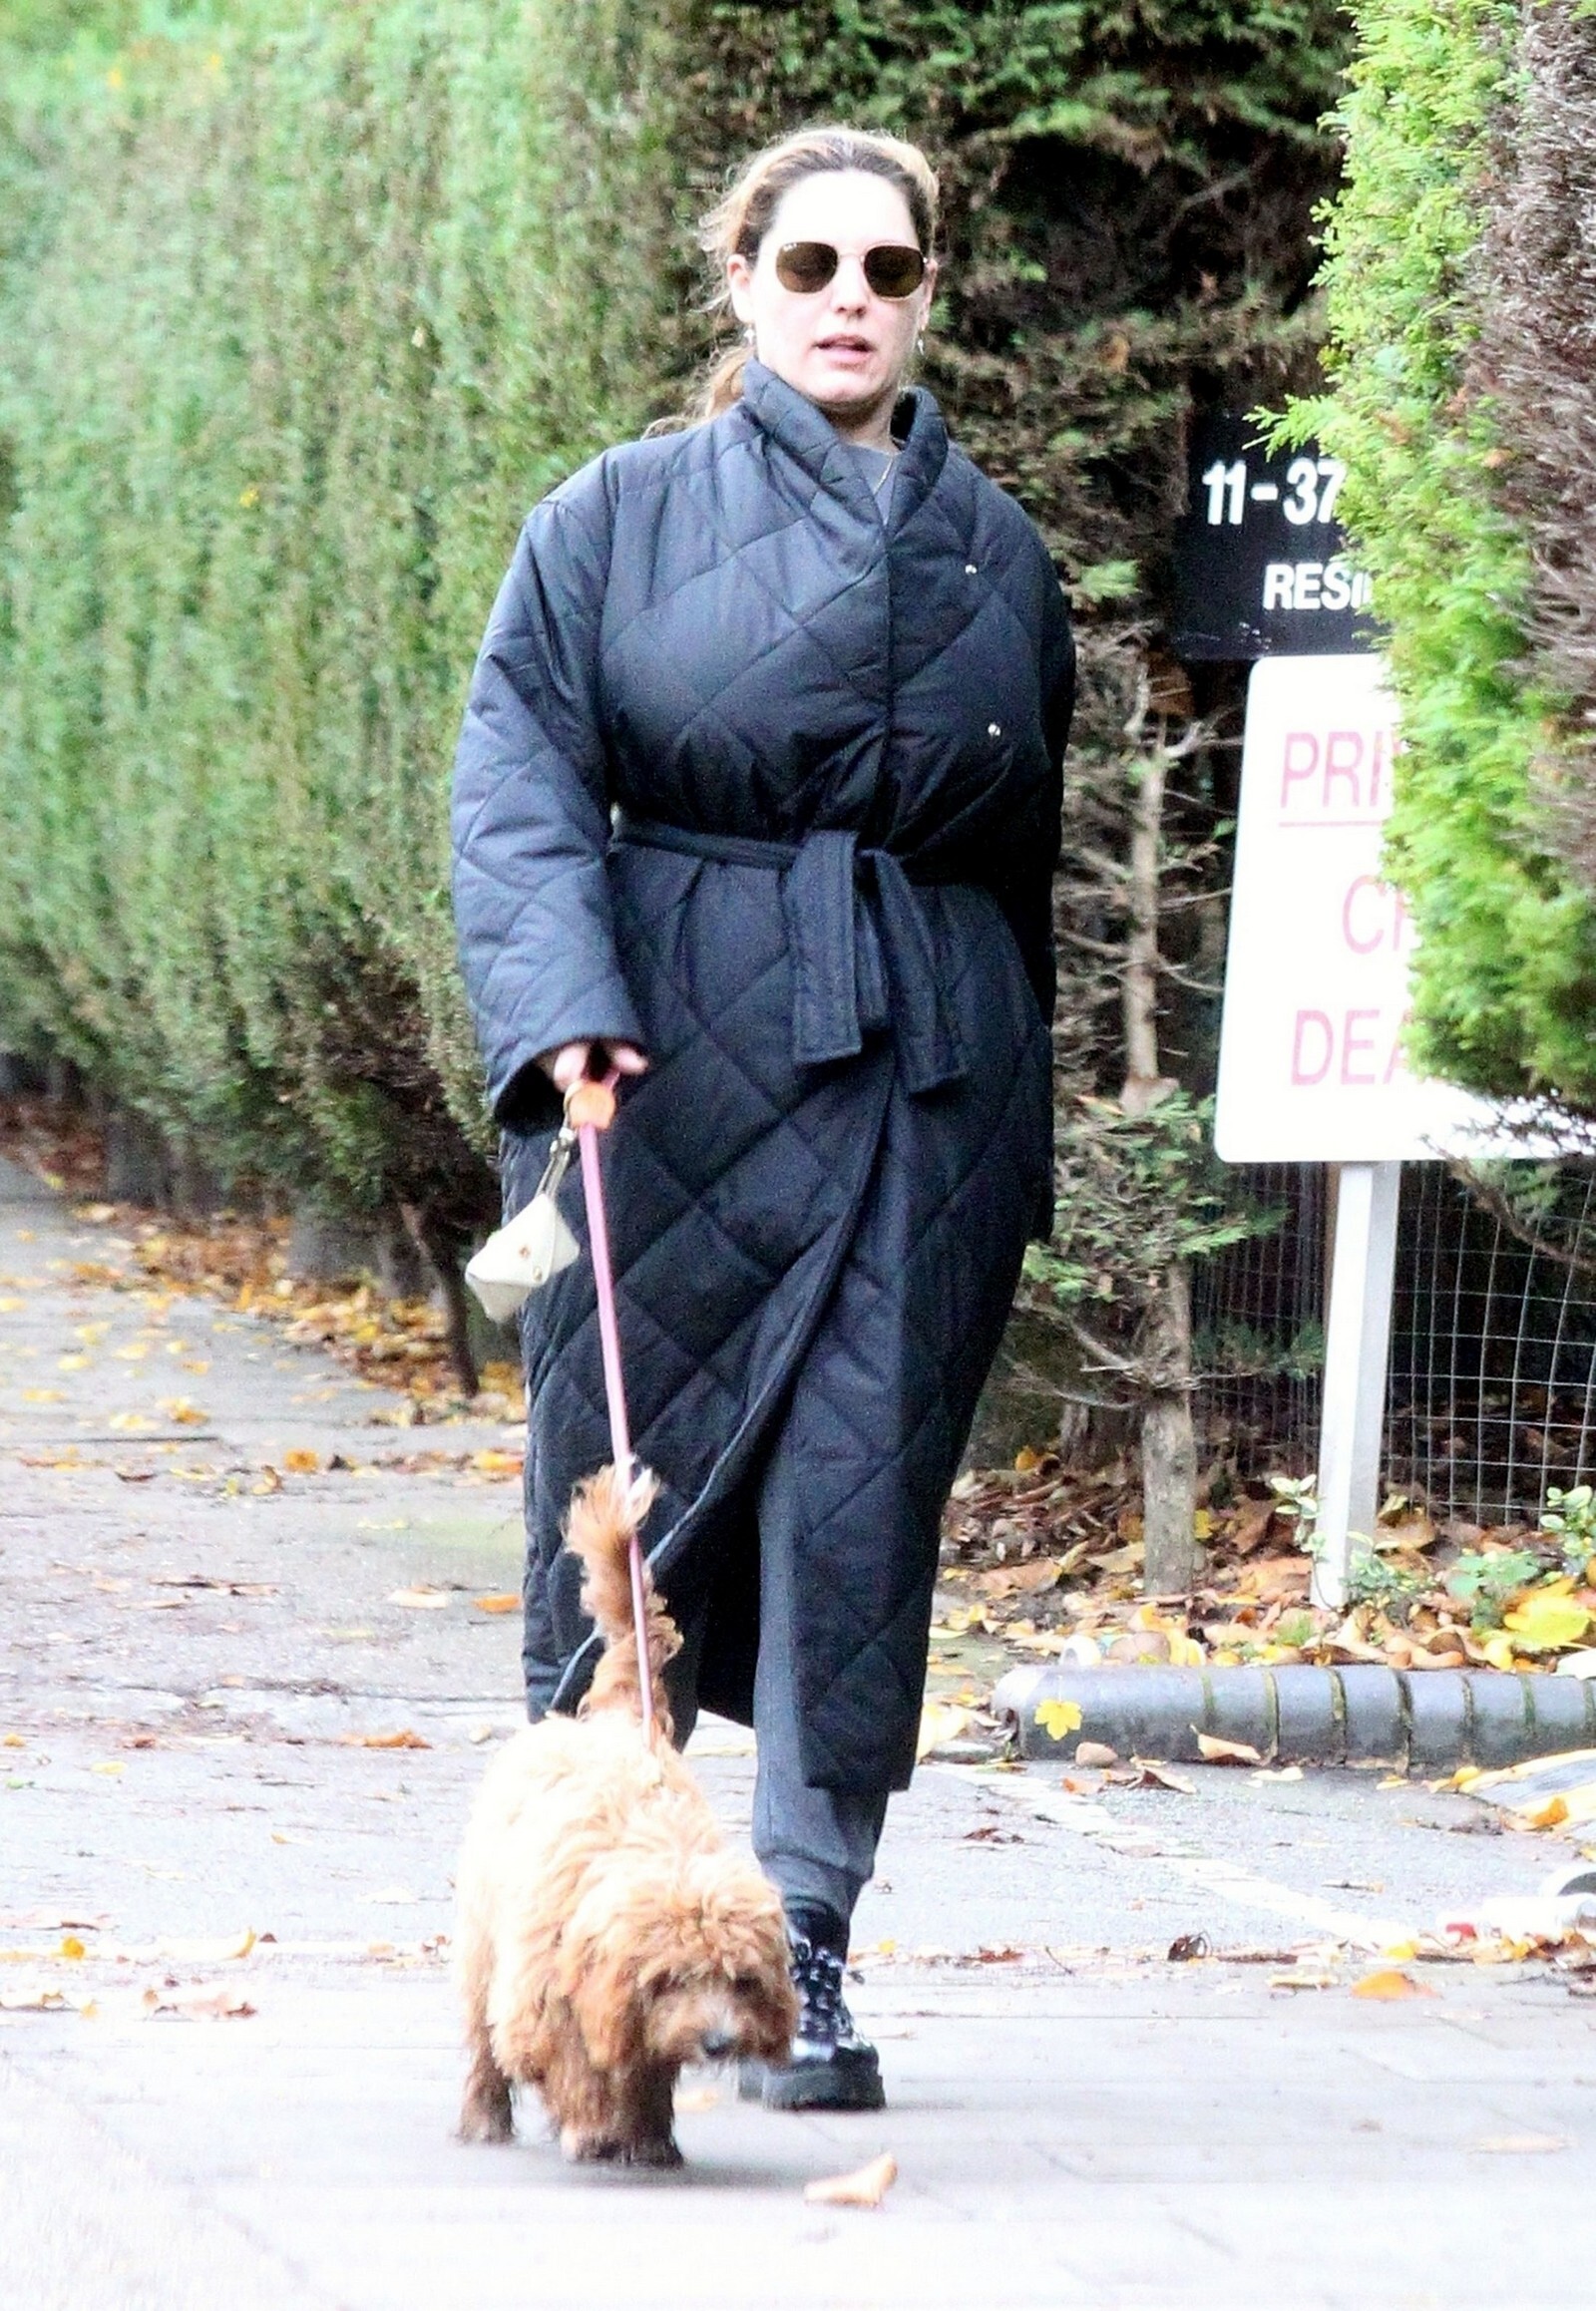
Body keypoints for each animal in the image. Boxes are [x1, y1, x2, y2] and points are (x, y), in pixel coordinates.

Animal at [454, 1464, 797, 2165]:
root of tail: (617, 1718)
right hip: (482, 1942)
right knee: (481, 2041)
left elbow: (642, 2066)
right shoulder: (546, 1996)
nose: (719, 2042)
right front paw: (593, 2125)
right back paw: (484, 2118)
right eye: (672, 1978)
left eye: (742, 1980)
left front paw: (646, 2134)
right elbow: (574, 2063)